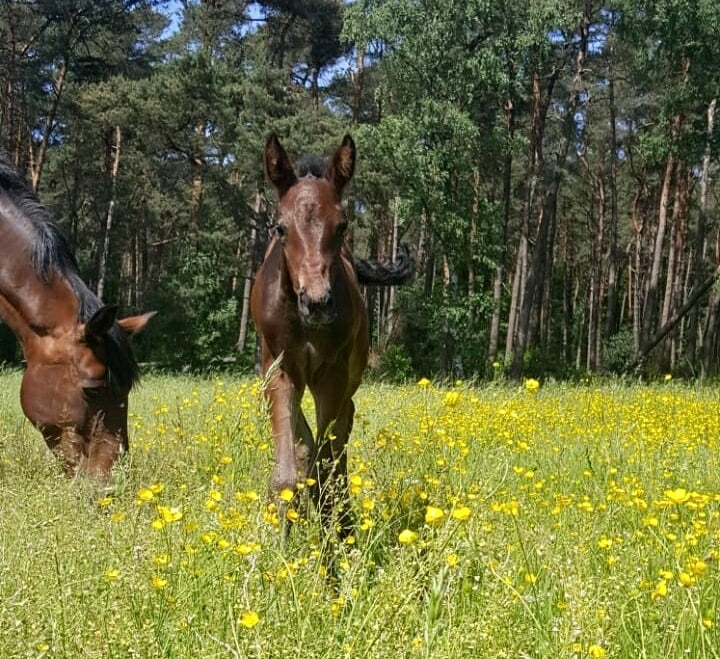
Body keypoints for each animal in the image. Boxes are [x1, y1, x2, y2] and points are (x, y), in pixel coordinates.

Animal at [252, 134, 410, 536]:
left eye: (341, 226)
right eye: (280, 228)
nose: (317, 302)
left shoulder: (333, 375)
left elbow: (325, 462)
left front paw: (334, 538)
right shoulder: (279, 370)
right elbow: (290, 467)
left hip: (349, 377)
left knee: (341, 433)